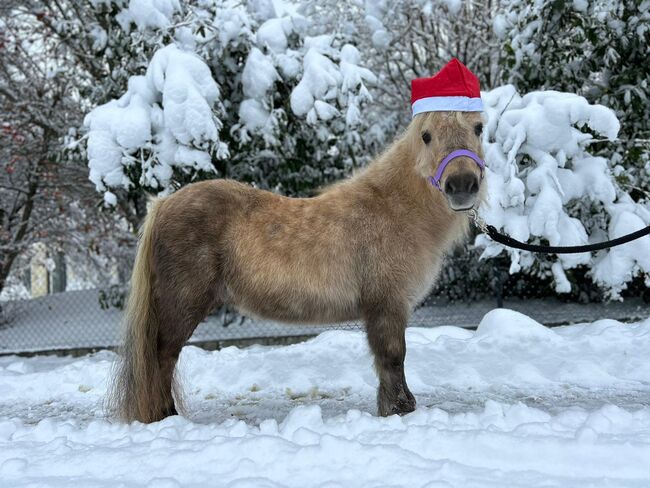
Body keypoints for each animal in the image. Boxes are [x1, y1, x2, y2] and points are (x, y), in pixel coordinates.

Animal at [111, 110, 484, 424]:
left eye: (479, 128)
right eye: (426, 135)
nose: (462, 185)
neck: (393, 210)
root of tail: (163, 204)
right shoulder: (387, 304)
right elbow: (393, 357)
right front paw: (401, 409)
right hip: (182, 306)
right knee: (162, 358)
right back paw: (165, 417)